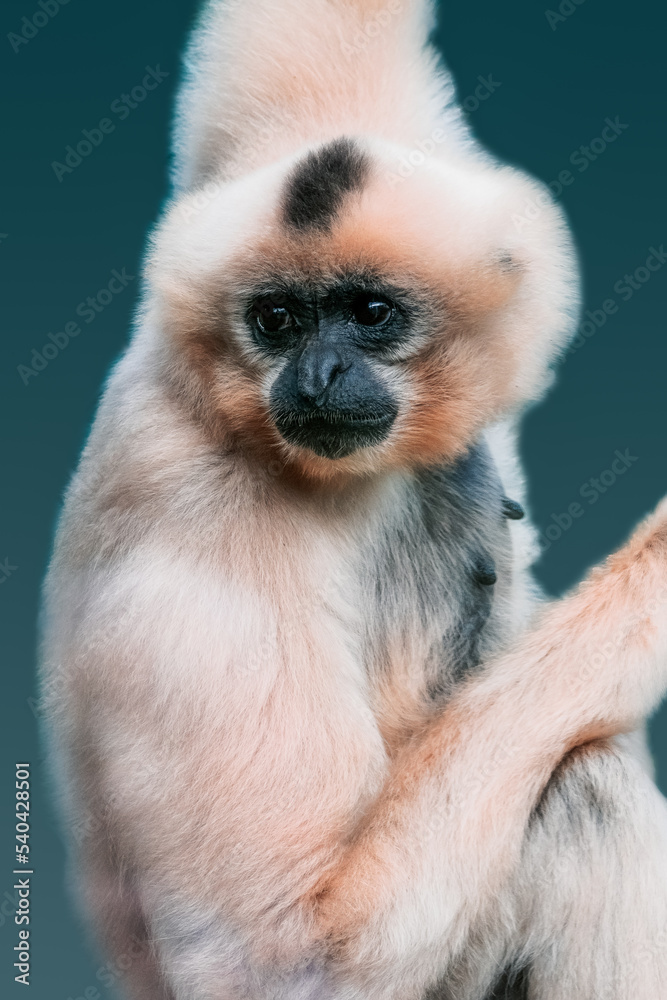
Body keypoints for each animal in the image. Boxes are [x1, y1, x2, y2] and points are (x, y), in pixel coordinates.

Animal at [39, 1, 667, 998]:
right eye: (278, 320)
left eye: (370, 314)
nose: (319, 373)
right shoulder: (207, 532)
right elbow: (290, 955)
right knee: (582, 789)